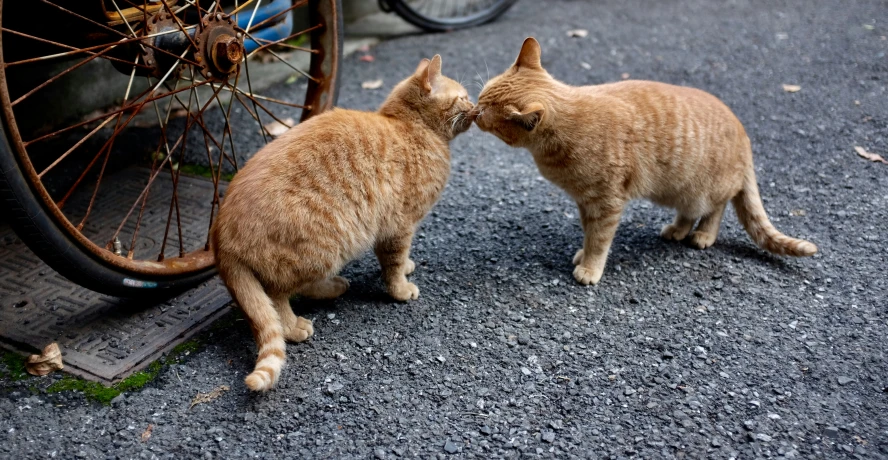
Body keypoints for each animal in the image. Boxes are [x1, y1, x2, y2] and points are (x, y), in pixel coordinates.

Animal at [212, 54, 476, 392]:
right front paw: (400, 289)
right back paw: (293, 327)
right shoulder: (399, 227)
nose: (475, 106)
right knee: (277, 297)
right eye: (463, 97)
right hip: (320, 249)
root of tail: (219, 234)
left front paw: (407, 267)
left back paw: (334, 287)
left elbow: (399, 259)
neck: (411, 128)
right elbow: (392, 265)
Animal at [476, 37, 816, 286]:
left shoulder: (606, 203)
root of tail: (743, 132)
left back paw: (704, 235)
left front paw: (590, 267)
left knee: (716, 209)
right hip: (679, 192)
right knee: (689, 212)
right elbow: (588, 234)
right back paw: (678, 230)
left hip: (706, 191)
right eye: (479, 99)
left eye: (483, 110)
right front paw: (583, 255)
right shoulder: (586, 202)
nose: (473, 111)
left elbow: (599, 240)